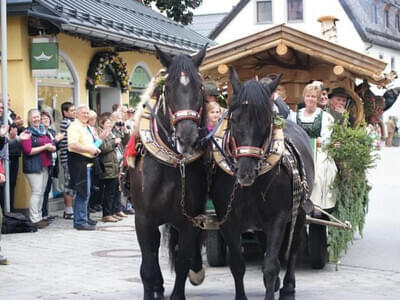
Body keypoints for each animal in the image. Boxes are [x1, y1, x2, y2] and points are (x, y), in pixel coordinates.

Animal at [131, 45, 208, 300]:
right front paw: (152, 288)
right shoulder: (143, 219)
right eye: (169, 87)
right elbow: (147, 266)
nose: (187, 137)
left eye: (200, 86)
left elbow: (183, 261)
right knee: (153, 253)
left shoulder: (189, 220)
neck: (174, 165)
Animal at [211, 67, 314, 298]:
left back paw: (287, 285)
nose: (246, 172)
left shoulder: (278, 218)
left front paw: (274, 284)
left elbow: (271, 265)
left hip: (300, 211)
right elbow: (238, 265)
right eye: (234, 119)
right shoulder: (227, 220)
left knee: (293, 247)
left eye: (265, 121)